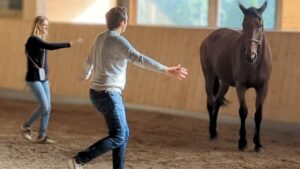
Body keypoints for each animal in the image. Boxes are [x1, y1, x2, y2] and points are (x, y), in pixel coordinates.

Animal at [199, 0, 272, 152]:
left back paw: (215, 131)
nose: (250, 55)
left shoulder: (263, 87)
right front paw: (242, 141)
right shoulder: (241, 86)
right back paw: (212, 132)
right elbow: (243, 111)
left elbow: (258, 115)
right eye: (243, 24)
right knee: (210, 103)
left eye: (260, 25)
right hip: (209, 77)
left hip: (225, 83)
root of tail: (209, 37)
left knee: (217, 102)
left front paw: (257, 143)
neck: (254, 64)